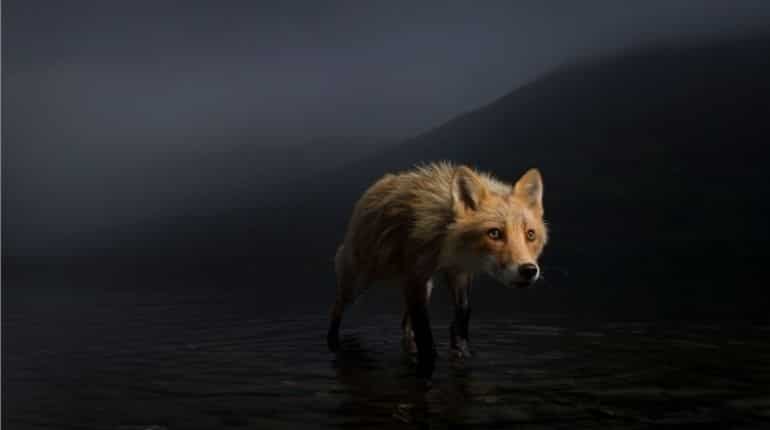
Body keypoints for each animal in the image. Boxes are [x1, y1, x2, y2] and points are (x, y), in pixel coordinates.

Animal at [327, 162, 547, 377]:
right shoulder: (416, 276)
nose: (528, 270)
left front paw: (461, 349)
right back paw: (332, 343)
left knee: (405, 324)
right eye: (494, 233)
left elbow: (462, 312)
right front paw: (430, 362)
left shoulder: (457, 272)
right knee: (337, 310)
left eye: (530, 235)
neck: (447, 242)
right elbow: (425, 333)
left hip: (426, 287)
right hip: (358, 281)